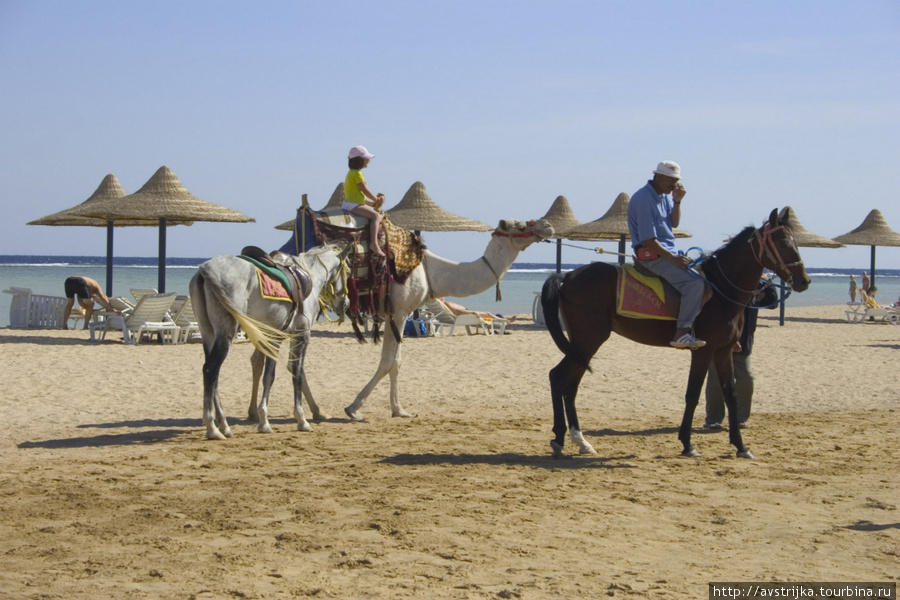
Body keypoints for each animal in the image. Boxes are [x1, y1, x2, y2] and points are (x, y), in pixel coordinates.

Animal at [192, 240, 350, 440]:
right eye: (348, 272)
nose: (346, 304)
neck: (311, 277)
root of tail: (205, 269)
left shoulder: (274, 338)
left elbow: (268, 376)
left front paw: (263, 420)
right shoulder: (302, 335)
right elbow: (297, 374)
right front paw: (301, 419)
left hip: (208, 334)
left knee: (214, 377)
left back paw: (224, 425)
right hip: (225, 334)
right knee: (210, 370)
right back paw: (212, 428)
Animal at [346, 218, 556, 420]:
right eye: (520, 226)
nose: (547, 225)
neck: (430, 272)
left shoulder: (397, 313)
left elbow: (396, 362)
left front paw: (399, 410)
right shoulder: (398, 311)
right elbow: (389, 362)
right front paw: (354, 408)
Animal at [544, 209, 812, 458]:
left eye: (795, 242)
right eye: (783, 243)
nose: (804, 280)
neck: (721, 290)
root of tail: (567, 275)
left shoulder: (723, 351)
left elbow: (731, 394)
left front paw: (740, 445)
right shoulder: (703, 351)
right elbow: (693, 393)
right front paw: (687, 443)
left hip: (583, 346)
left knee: (570, 386)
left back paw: (580, 441)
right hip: (588, 341)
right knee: (558, 377)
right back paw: (559, 438)